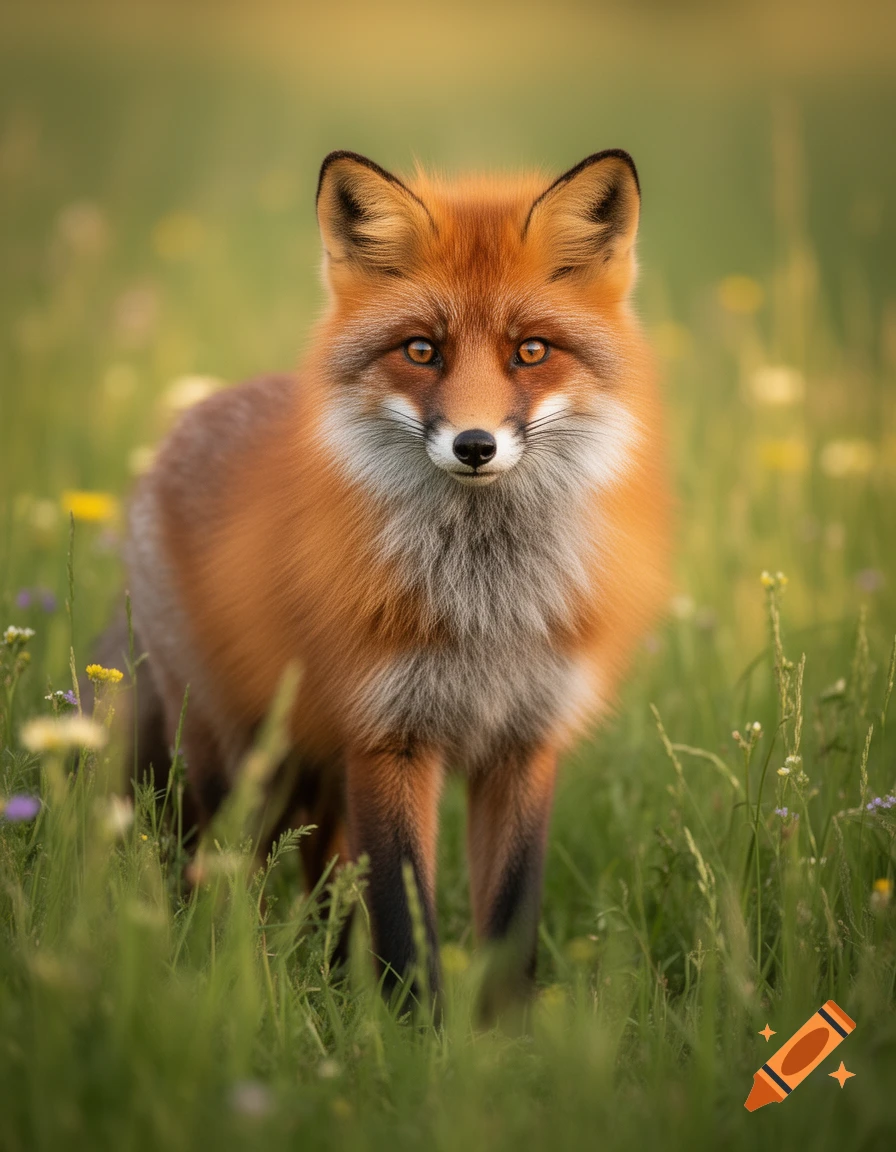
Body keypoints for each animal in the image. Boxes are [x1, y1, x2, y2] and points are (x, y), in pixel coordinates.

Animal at [120, 148, 670, 1003]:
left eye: (531, 351)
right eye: (422, 350)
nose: (474, 445)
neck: (485, 608)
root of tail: (191, 418)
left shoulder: (523, 744)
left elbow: (510, 914)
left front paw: (502, 1031)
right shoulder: (387, 737)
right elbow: (406, 920)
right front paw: (418, 1031)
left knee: (322, 884)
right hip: (237, 760)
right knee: (219, 875)